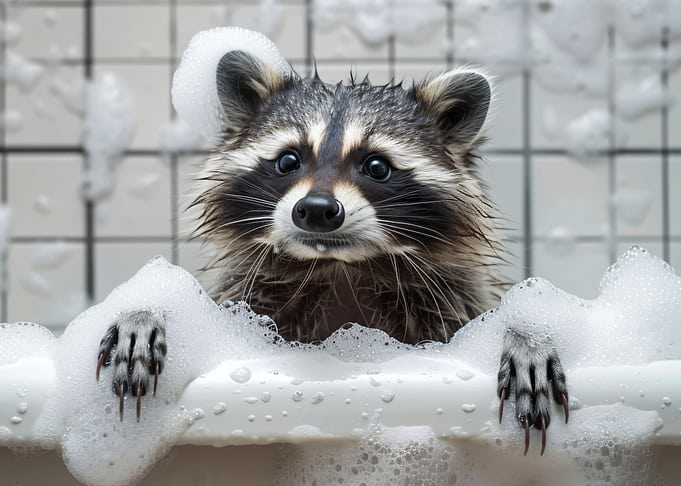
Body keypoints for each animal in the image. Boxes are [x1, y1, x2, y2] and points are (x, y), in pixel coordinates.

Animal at [95, 46, 568, 454]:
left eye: (376, 166)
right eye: (288, 161)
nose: (318, 210)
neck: (339, 268)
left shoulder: (448, 306)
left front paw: (525, 332)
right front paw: (148, 308)